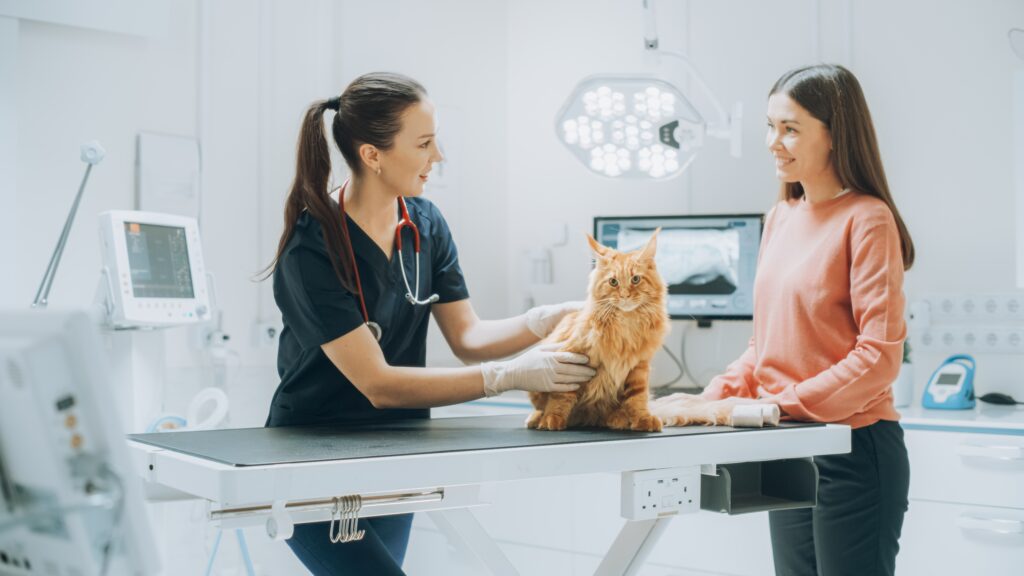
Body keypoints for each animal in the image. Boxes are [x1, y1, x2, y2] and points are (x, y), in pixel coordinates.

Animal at [528, 228, 671, 430]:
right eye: (613, 282)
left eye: (635, 279)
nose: (625, 295)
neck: (625, 323)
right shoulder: (572, 358)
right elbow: (561, 396)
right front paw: (552, 418)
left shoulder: (639, 366)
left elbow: (638, 397)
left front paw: (643, 418)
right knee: (543, 406)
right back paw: (538, 418)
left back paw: (617, 418)